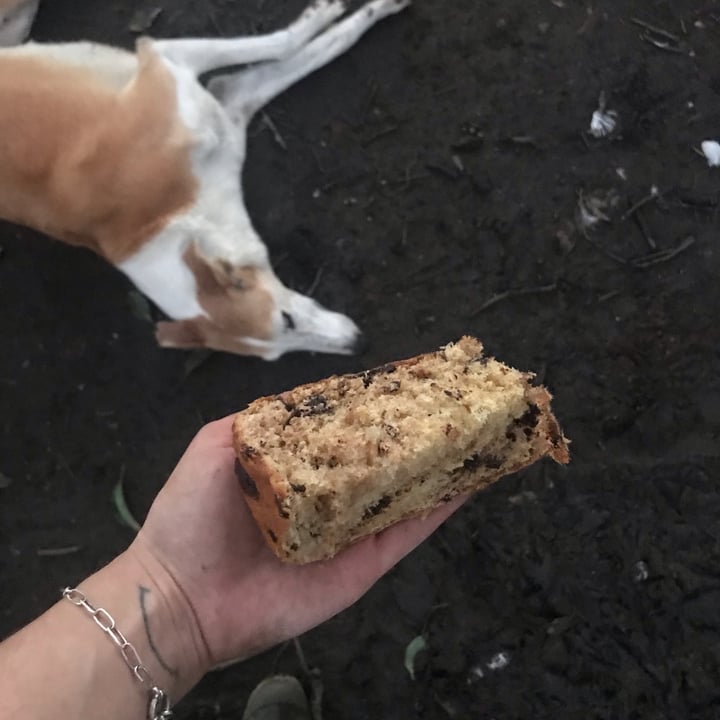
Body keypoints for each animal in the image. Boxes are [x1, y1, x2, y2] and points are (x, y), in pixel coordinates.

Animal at [0, 0, 408, 360]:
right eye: (277, 350)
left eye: (287, 319)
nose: (360, 345)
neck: (166, 215)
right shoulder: (223, 99)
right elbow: (310, 49)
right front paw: (367, 12)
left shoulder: (167, 58)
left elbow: (288, 42)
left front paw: (343, 10)